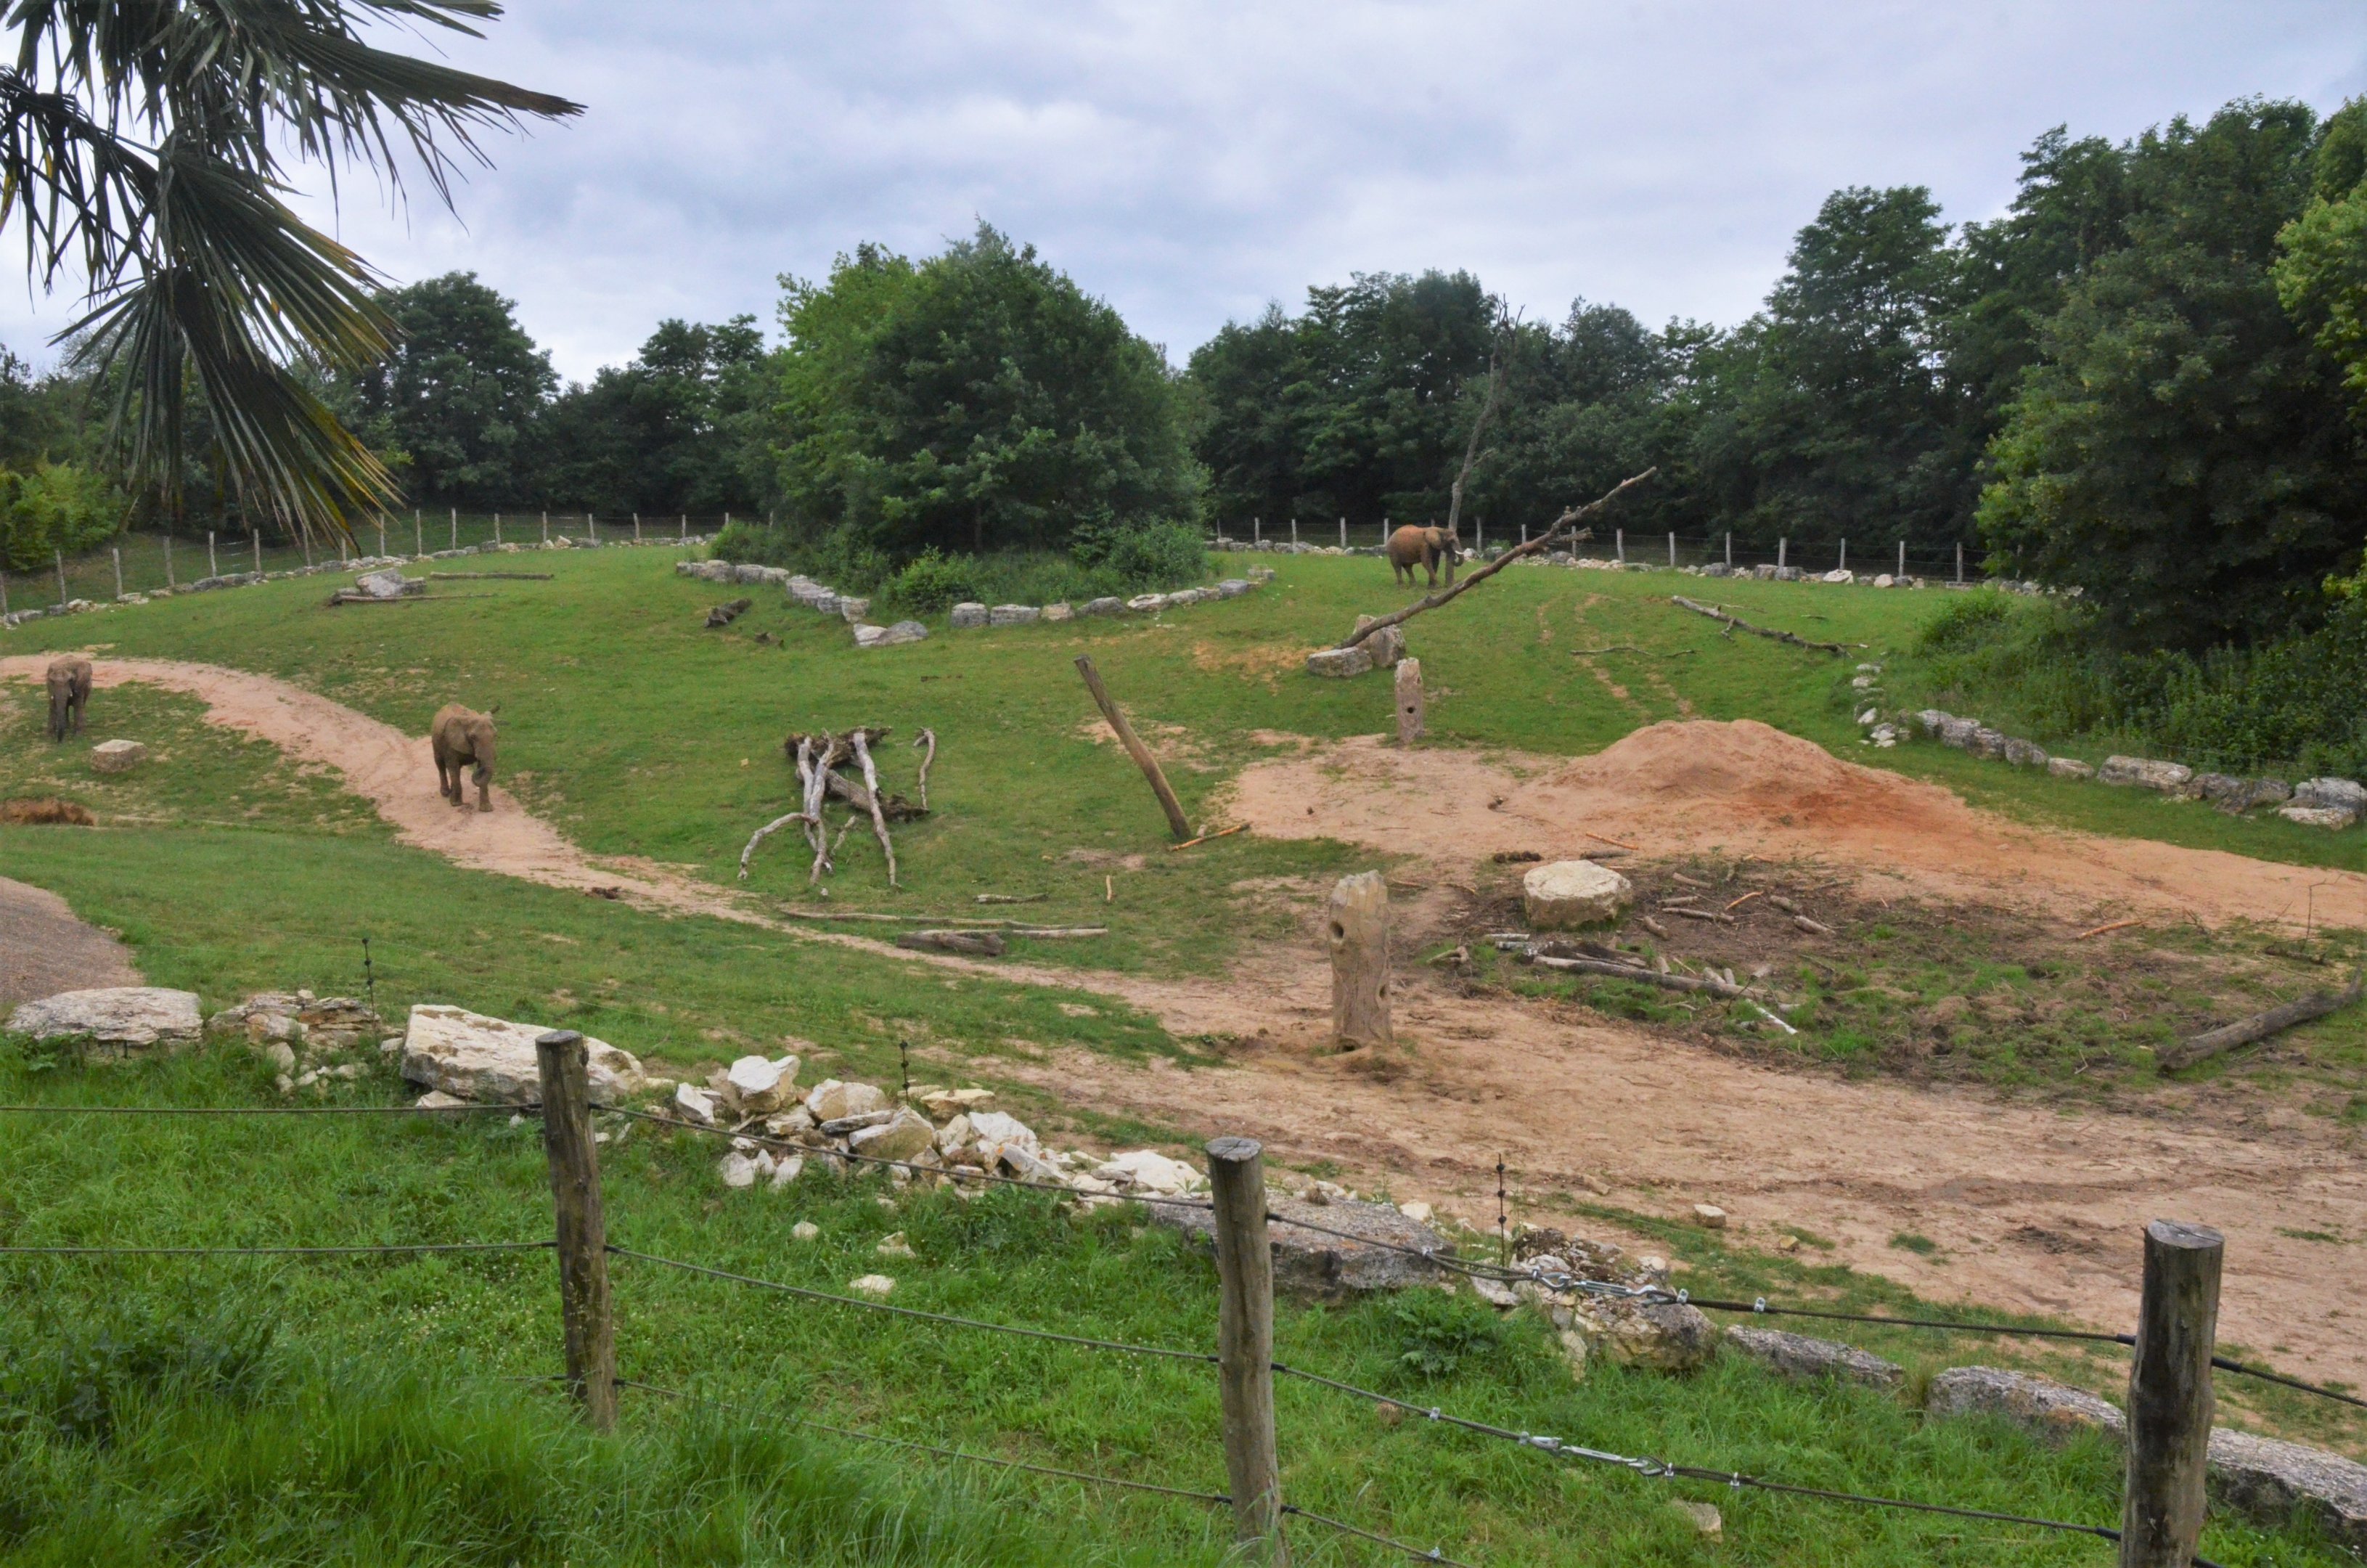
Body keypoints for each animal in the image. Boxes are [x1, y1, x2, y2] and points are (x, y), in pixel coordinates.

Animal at [430, 704, 498, 812]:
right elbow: (452, 766)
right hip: (435, 740)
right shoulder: (450, 745)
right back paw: (446, 793)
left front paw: (486, 809)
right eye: (473, 737)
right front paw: (456, 804)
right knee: (440, 764)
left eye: (495, 735)